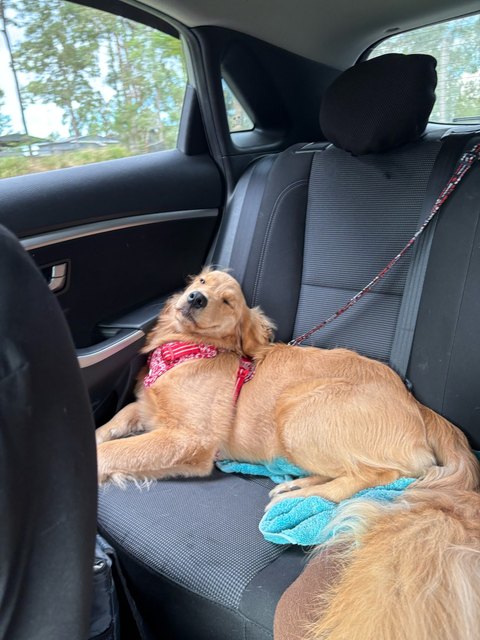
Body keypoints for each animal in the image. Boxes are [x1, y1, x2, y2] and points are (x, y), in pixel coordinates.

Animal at [96, 269, 480, 639]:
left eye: (228, 301)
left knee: (379, 474)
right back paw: (295, 486)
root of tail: (418, 406)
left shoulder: (188, 439)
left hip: (296, 409)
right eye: (202, 281)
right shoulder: (144, 410)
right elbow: (112, 425)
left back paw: (305, 495)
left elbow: (115, 451)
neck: (187, 351)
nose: (195, 298)